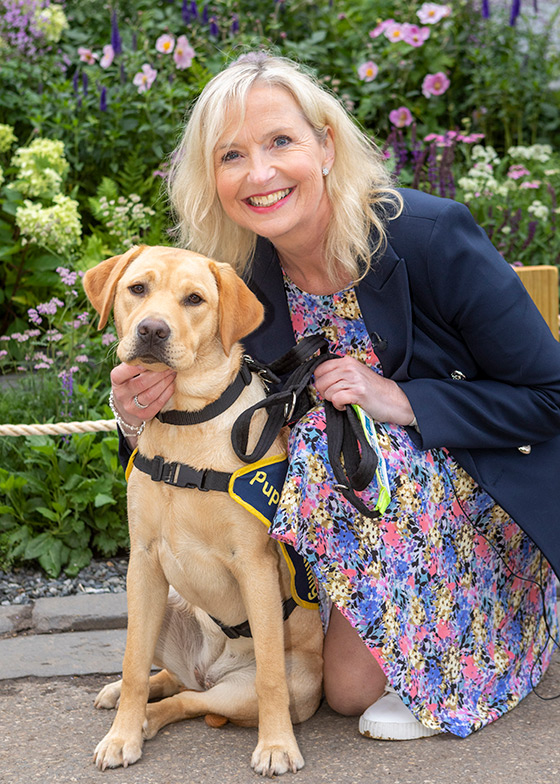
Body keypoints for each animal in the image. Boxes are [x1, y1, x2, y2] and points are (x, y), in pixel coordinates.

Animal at [81, 247, 322, 776]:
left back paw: (153, 719)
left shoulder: (255, 566)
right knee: (169, 680)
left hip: (257, 689)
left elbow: (270, 674)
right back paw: (125, 701)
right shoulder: (143, 562)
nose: (152, 330)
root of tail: (208, 670)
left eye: (194, 299)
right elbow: (133, 663)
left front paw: (278, 746)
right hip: (164, 602)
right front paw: (121, 736)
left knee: (190, 701)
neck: (184, 421)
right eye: (137, 289)